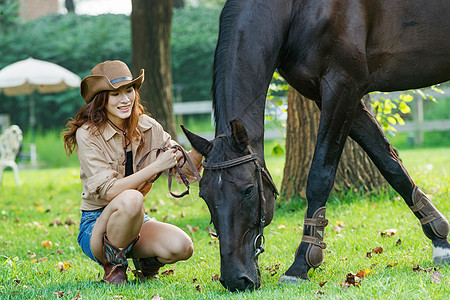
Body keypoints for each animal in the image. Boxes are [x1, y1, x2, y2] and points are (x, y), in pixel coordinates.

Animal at [180, 0, 450, 292]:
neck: (297, 10)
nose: (235, 279)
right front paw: (440, 241)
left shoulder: (342, 87)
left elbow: (320, 175)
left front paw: (302, 263)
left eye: (248, 191)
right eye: (204, 195)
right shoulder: (339, 98)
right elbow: (390, 164)